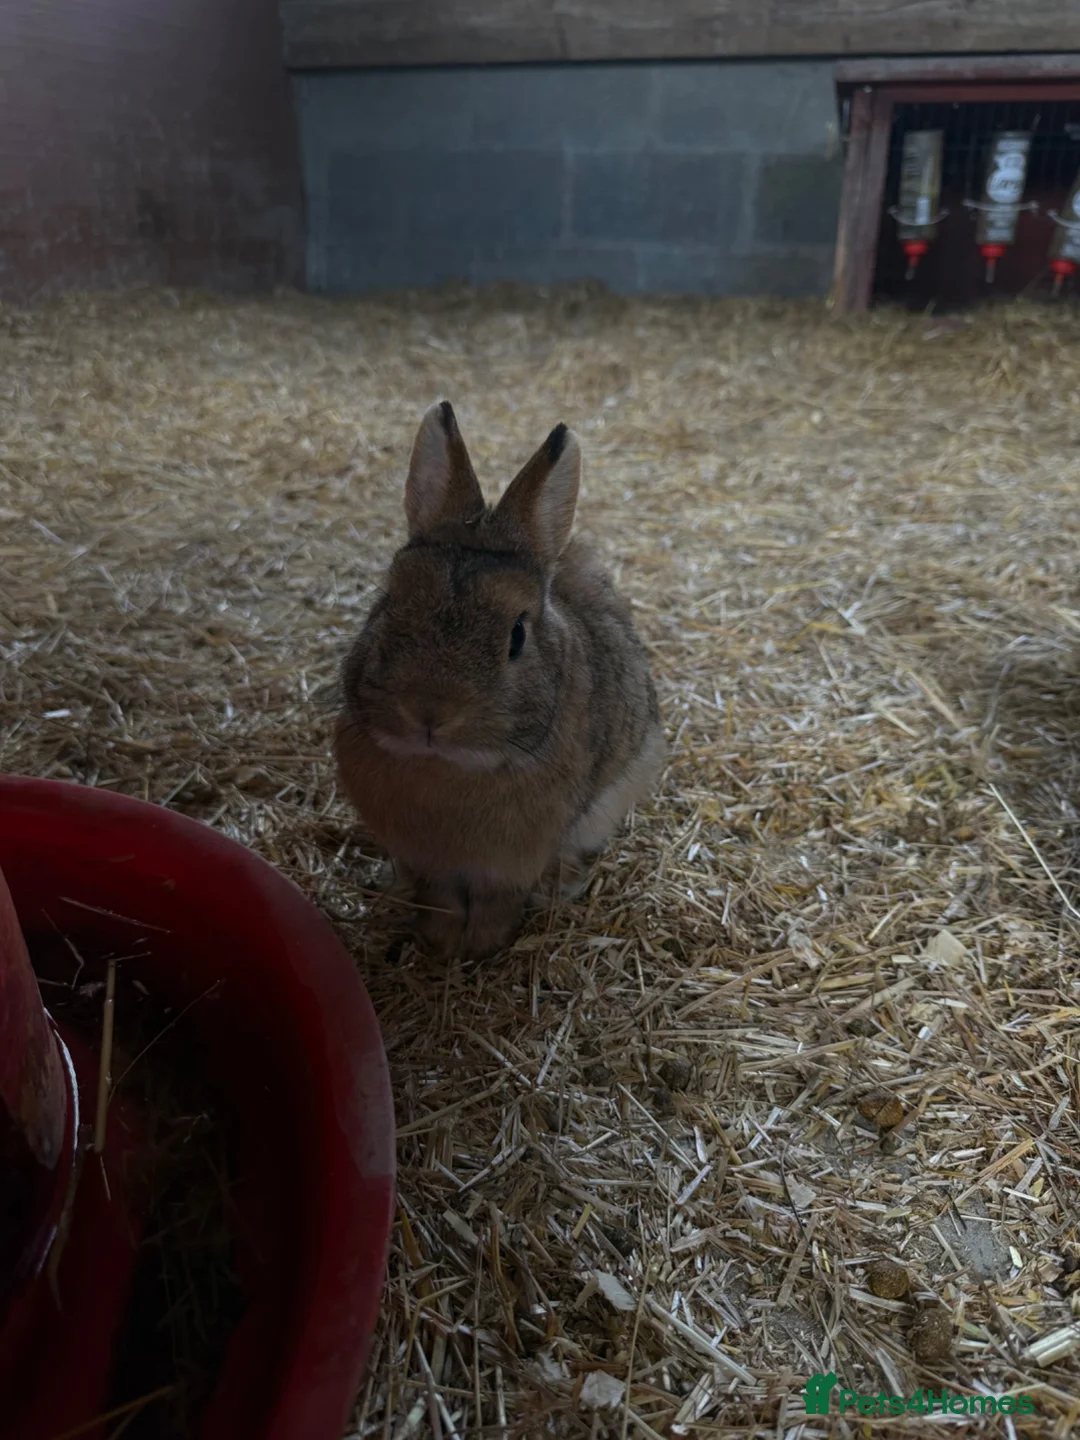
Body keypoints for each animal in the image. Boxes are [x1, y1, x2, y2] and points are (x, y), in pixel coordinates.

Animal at [334, 400, 664, 960]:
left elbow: (499, 902)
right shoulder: (430, 863)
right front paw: (445, 942)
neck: (449, 768)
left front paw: (482, 944)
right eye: (388, 602)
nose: (429, 711)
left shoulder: (516, 861)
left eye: (517, 635)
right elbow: (441, 897)